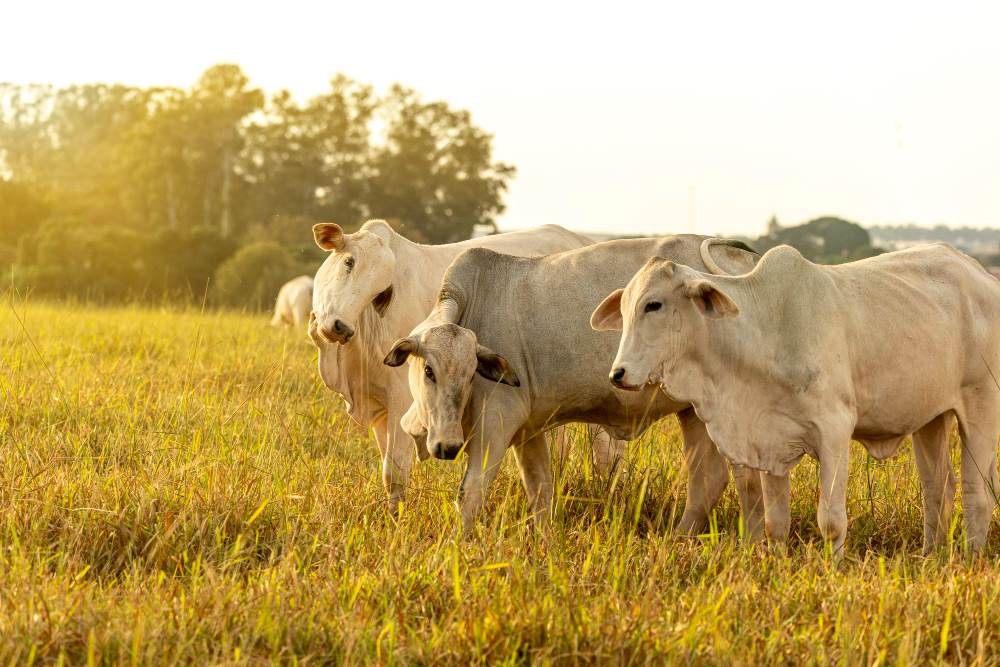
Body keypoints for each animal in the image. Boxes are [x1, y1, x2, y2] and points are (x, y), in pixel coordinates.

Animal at [306, 219, 616, 512]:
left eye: (381, 291)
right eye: (349, 262)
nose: (340, 327)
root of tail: (581, 239)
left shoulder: (401, 399)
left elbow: (395, 472)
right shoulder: (379, 409)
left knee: (607, 450)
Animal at [382, 237, 764, 536]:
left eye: (470, 371)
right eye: (429, 370)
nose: (447, 446)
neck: (473, 303)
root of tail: (747, 262)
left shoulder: (496, 422)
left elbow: (471, 491)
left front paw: (457, 547)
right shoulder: (528, 431)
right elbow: (540, 491)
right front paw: (544, 542)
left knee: (748, 480)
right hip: (694, 412)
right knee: (708, 480)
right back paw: (681, 540)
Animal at [592, 243, 1000, 556]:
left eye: (654, 305)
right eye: (625, 308)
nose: (618, 374)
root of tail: (983, 275)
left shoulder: (835, 431)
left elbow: (831, 519)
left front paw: (834, 569)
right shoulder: (768, 442)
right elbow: (776, 523)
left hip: (981, 407)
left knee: (976, 493)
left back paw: (970, 558)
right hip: (931, 419)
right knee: (938, 490)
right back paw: (932, 556)